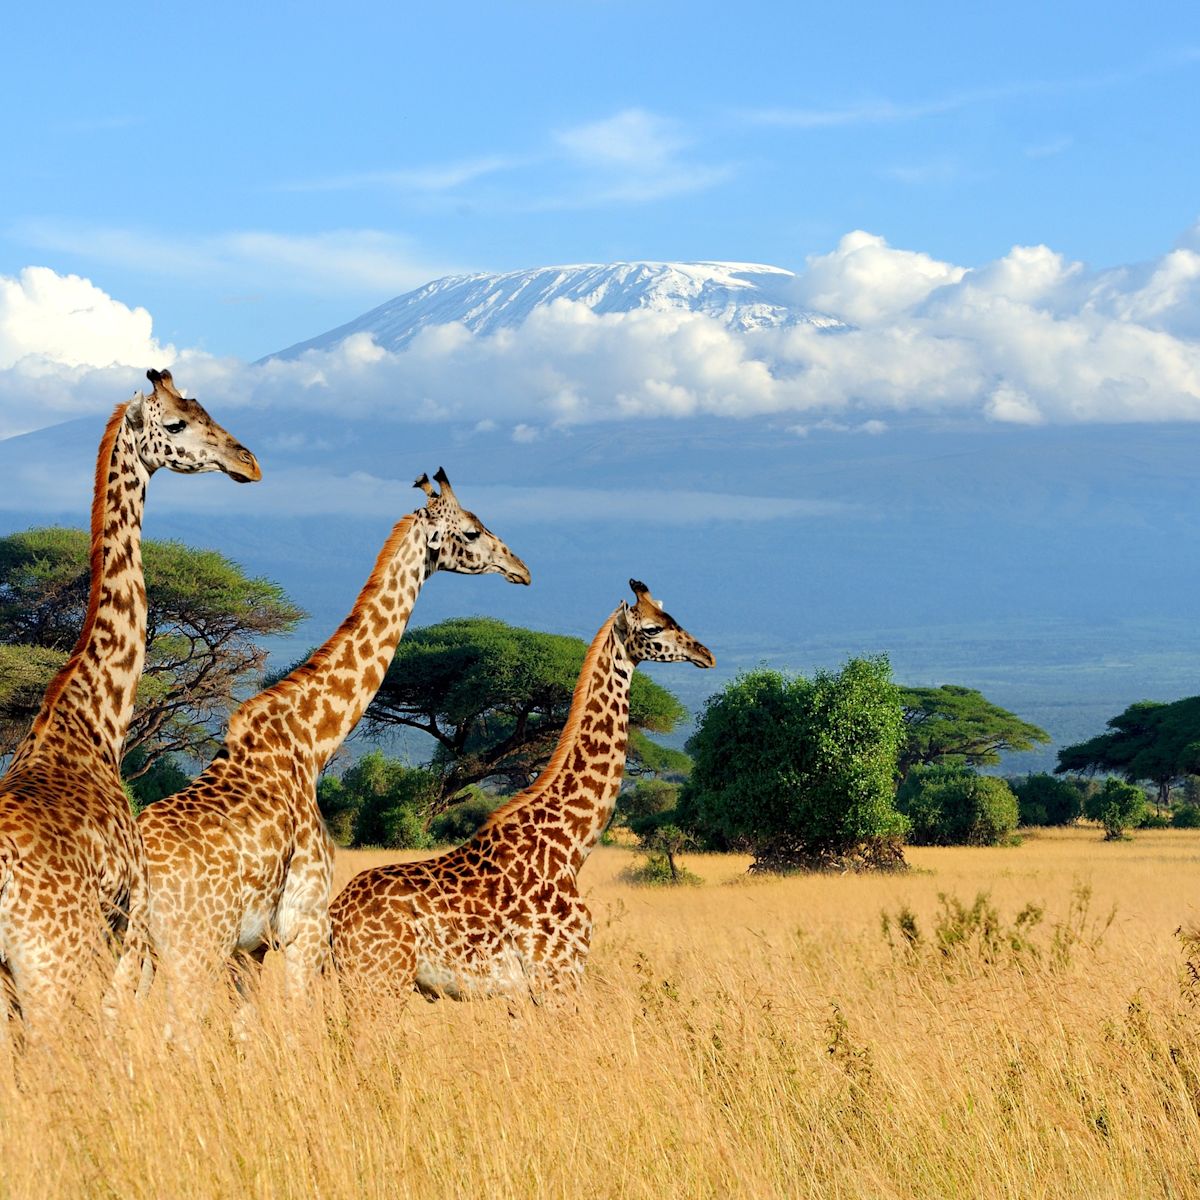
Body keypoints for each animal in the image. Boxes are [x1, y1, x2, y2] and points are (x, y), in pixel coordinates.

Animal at [137, 468, 530, 1021]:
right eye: (472, 532)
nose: (521, 569)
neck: (312, 741)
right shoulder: (304, 924)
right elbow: (298, 1020)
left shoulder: (251, 948)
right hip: (193, 945)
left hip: (134, 949)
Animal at [330, 579, 714, 1005]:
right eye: (652, 628)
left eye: (672, 617)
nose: (705, 654)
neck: (571, 845)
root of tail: (334, 917)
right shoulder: (557, 974)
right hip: (379, 981)